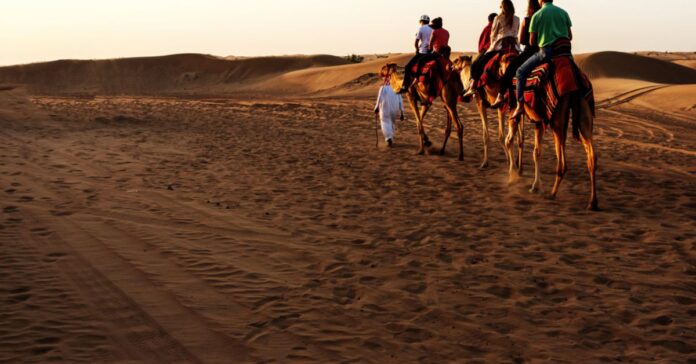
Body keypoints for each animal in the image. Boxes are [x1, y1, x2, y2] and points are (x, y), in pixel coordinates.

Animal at [498, 57, 600, 210]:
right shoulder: (539, 122)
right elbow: (536, 152)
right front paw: (535, 185)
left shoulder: (514, 111)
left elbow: (509, 140)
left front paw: (512, 176)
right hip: (584, 111)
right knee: (592, 157)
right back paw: (592, 202)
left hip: (557, 120)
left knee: (563, 163)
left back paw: (552, 194)